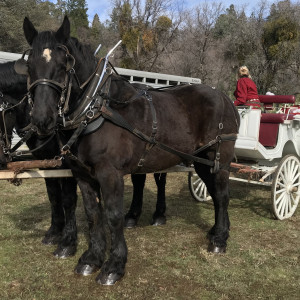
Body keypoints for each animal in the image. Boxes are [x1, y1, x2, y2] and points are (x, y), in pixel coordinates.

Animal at [19, 17, 239, 284]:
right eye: (29, 65)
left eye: (64, 65)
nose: (42, 119)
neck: (96, 107)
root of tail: (225, 98)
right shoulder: (82, 175)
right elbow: (93, 213)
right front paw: (91, 259)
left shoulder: (110, 174)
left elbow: (113, 216)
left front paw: (114, 265)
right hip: (200, 161)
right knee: (215, 195)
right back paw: (216, 231)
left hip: (219, 159)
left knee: (222, 195)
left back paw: (220, 240)